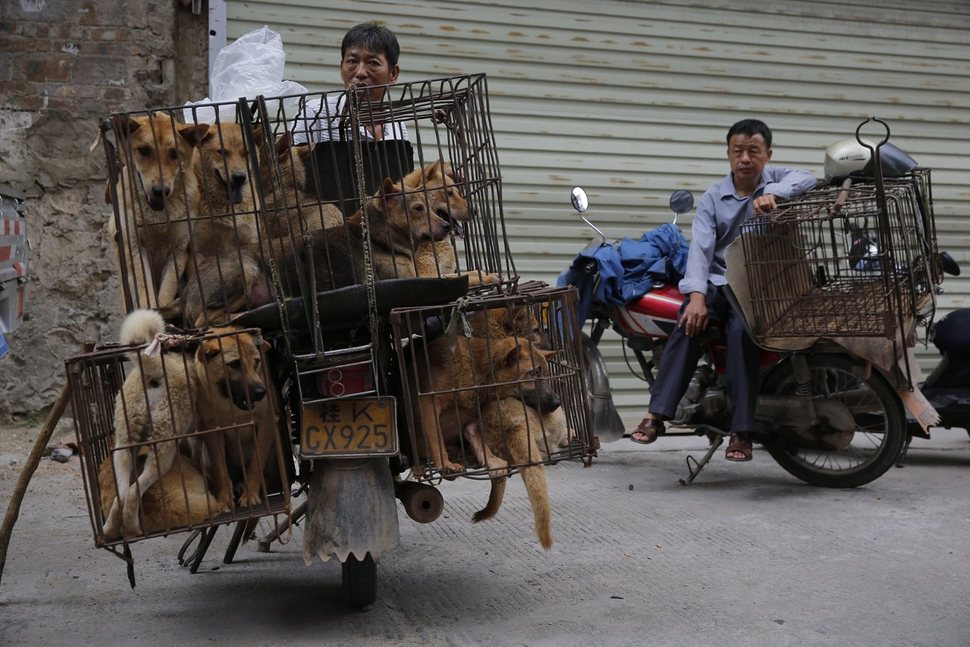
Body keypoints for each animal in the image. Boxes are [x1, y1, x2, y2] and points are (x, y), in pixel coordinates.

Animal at [105, 114, 209, 312]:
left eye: (174, 154)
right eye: (145, 150)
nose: (161, 191)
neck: (158, 218)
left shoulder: (179, 248)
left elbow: (166, 291)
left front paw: (164, 311)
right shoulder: (135, 247)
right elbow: (145, 292)